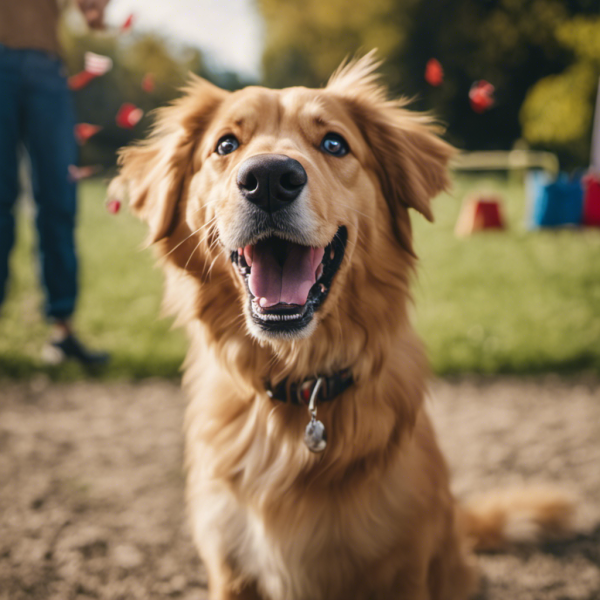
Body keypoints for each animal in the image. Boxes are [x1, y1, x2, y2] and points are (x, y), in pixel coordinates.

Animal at [110, 54, 576, 596]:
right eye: (226, 145)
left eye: (334, 143)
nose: (270, 177)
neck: (299, 384)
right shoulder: (229, 568)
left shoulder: (401, 569)